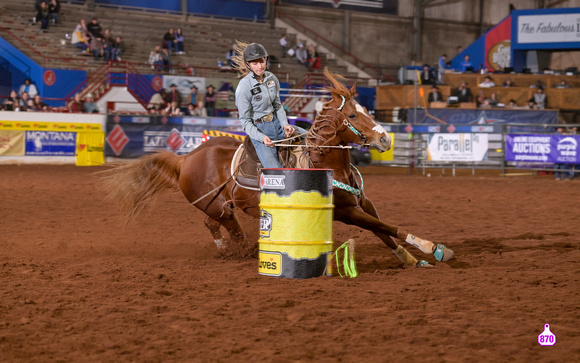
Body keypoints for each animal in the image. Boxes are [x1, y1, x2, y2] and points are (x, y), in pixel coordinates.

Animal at [104, 69, 454, 268]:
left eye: (367, 108)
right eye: (353, 116)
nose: (384, 139)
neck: (325, 163)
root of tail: (186, 158)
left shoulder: (364, 204)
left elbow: (384, 230)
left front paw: (409, 258)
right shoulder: (347, 212)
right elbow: (388, 227)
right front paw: (434, 248)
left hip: (217, 206)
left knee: (213, 225)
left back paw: (227, 249)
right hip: (219, 207)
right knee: (229, 228)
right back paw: (246, 252)